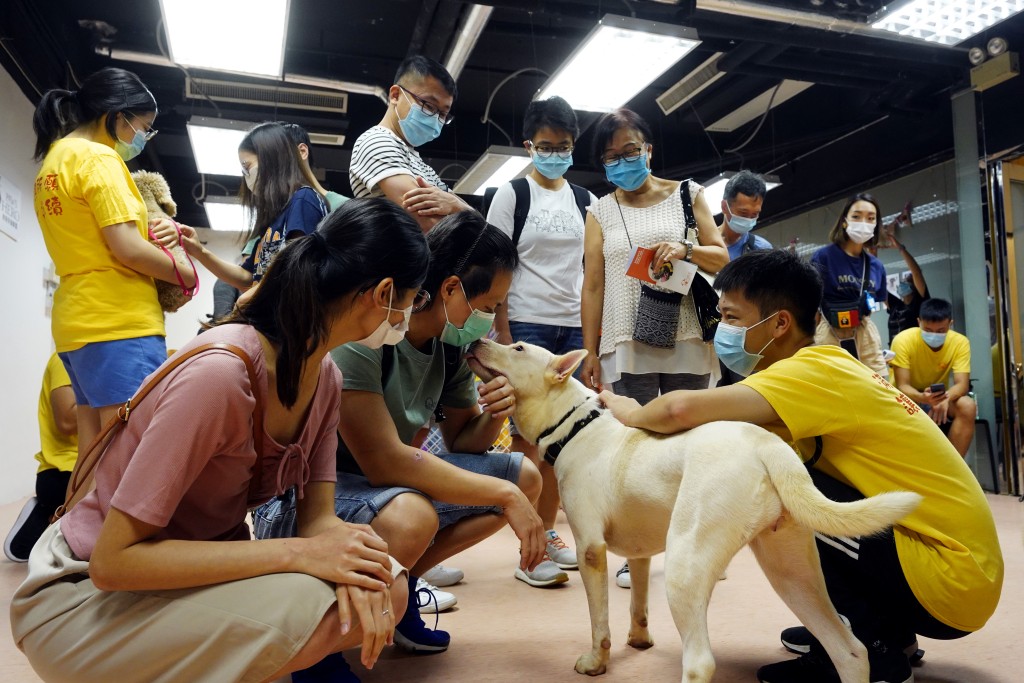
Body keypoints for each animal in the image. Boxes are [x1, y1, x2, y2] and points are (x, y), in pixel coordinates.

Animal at [464, 339, 921, 683]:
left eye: (517, 347)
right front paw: (639, 640)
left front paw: (596, 662)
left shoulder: (590, 549)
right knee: (849, 649)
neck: (574, 425)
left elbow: (599, 622)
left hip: (687, 564)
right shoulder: (640, 553)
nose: (474, 340)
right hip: (792, 572)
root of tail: (766, 444)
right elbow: (638, 603)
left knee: (700, 662)